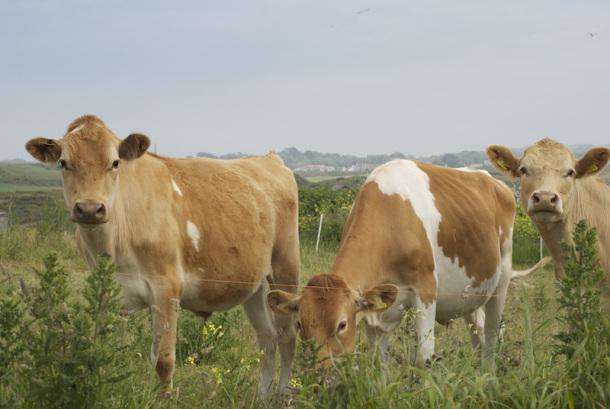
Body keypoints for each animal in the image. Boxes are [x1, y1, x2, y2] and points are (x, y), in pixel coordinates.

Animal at [24, 115, 300, 396]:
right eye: (63, 163)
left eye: (115, 162)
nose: (90, 209)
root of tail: (269, 159)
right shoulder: (105, 292)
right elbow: (100, 352)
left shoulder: (167, 287)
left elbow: (163, 360)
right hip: (253, 283)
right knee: (267, 338)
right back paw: (262, 395)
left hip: (285, 268)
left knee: (287, 337)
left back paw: (282, 394)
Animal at [268, 159, 540, 366]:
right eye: (300, 323)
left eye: (341, 325)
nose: (317, 369)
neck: (391, 219)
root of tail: (495, 182)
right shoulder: (375, 306)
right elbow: (378, 362)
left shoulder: (426, 290)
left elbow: (423, 359)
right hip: (471, 291)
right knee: (479, 332)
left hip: (501, 280)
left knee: (493, 334)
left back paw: (489, 376)